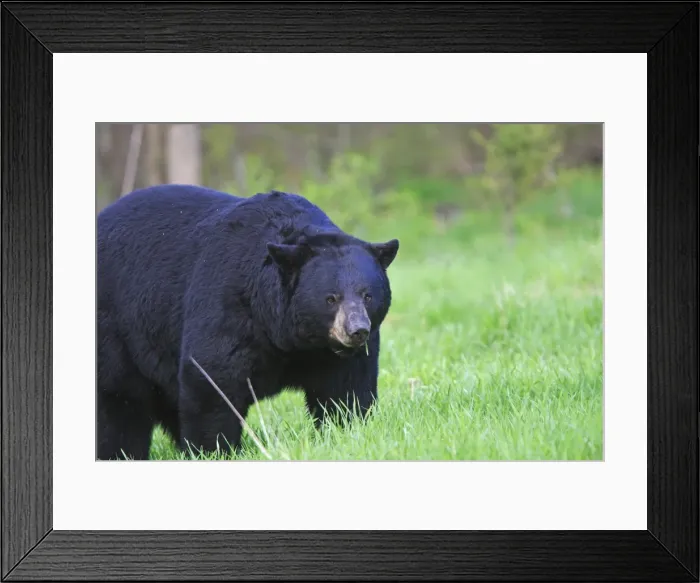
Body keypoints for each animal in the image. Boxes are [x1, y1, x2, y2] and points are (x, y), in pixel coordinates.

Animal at [96, 184, 399, 460]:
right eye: (331, 298)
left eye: (368, 295)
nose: (357, 330)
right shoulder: (229, 302)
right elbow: (213, 377)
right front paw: (216, 450)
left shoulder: (332, 355)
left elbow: (346, 389)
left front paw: (347, 430)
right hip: (118, 328)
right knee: (120, 403)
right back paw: (121, 453)